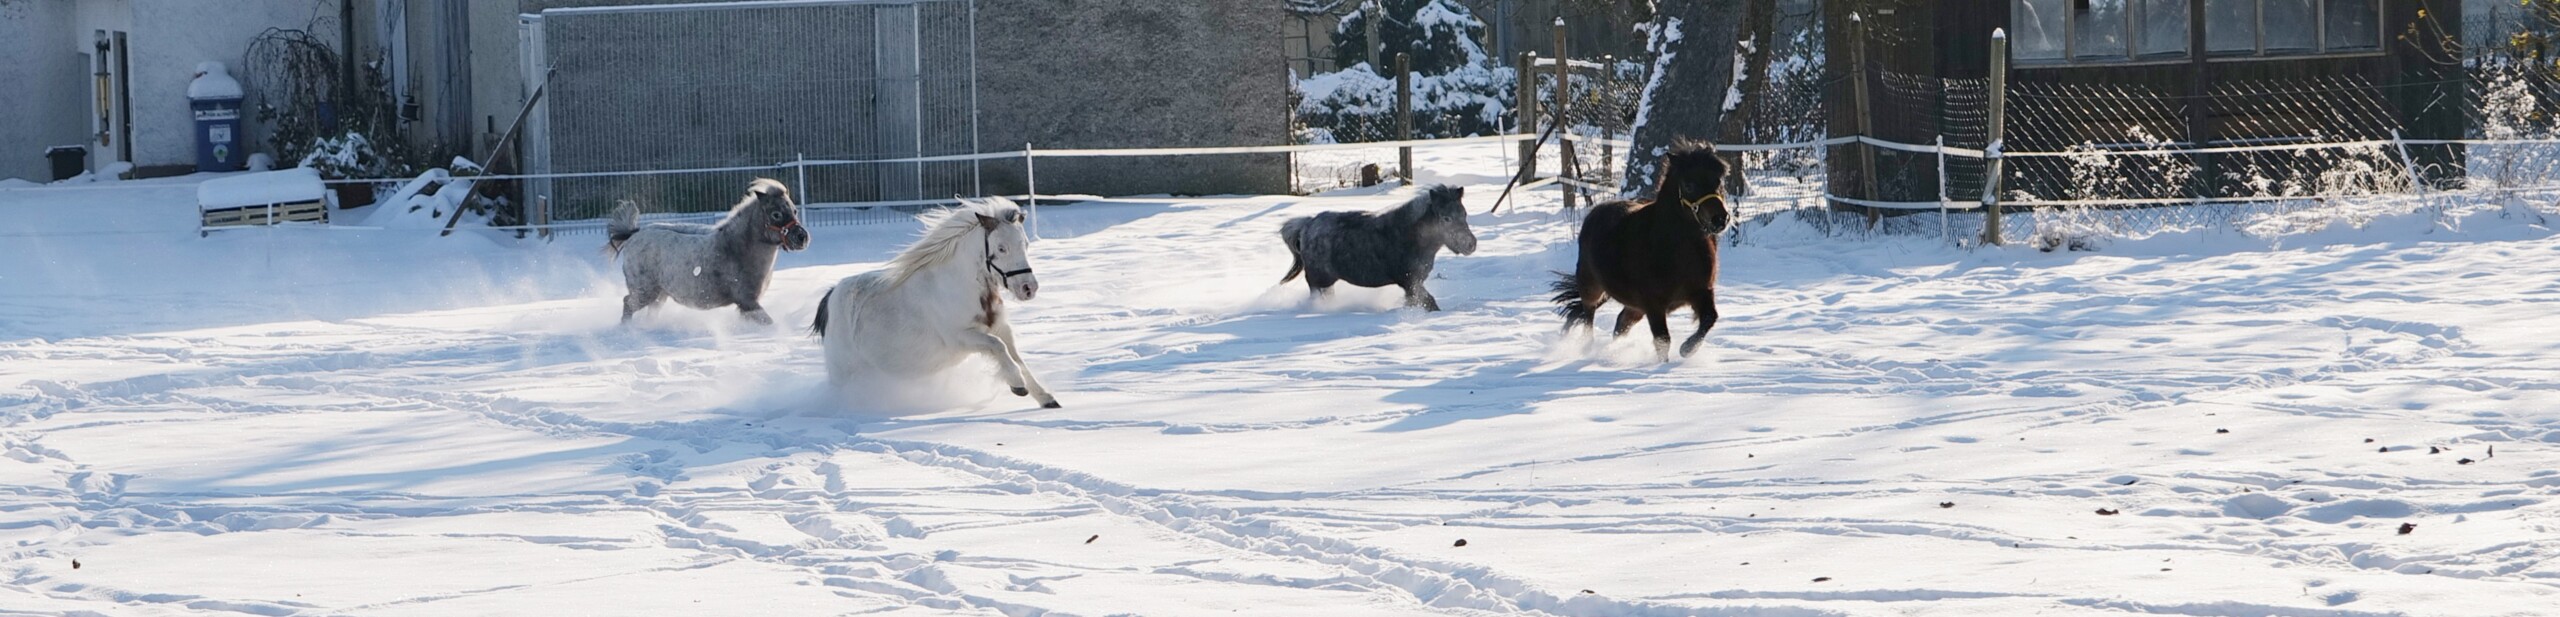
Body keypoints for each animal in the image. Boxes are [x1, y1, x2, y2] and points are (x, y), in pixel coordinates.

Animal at [601, 176, 808, 325]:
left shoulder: (746, 307)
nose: (802, 237)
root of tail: (633, 235)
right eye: (776, 214)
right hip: (644, 291)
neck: (736, 247)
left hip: (660, 294)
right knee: (627, 304)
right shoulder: (748, 303)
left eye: (794, 210)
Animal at [808, 197, 1049, 407]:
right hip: (845, 372)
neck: (960, 285)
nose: (1029, 288)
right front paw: (1017, 386)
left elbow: (1016, 357)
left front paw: (1046, 398)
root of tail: (830, 297)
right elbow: (998, 347)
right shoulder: (960, 337)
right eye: (1001, 248)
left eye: (1026, 244)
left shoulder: (1000, 328)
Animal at [1280, 181, 1484, 308]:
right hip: (1318, 280)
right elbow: (1430, 303)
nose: (1470, 244)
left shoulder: (1413, 285)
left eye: (1464, 214)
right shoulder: (1410, 282)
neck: (1409, 236)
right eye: (1446, 218)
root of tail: (1307, 225)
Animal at [1546, 139, 1730, 360]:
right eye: (1689, 184)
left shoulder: (1701, 292)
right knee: (1588, 314)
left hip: (1634, 307)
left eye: (1718, 181)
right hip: (1592, 287)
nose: (1720, 219)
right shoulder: (1653, 305)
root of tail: (1595, 212)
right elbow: (1662, 341)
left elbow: (1710, 318)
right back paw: (1587, 348)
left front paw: (1687, 349)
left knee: (1620, 323)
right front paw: (1666, 363)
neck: (1677, 251)